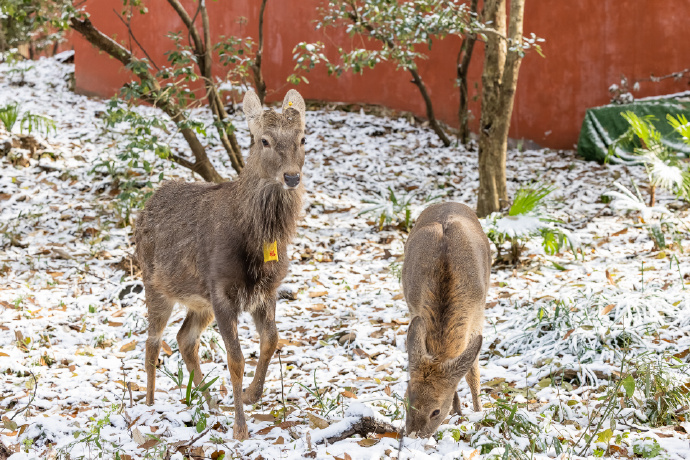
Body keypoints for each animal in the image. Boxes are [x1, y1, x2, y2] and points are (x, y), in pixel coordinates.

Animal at [134, 89, 306, 438]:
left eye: (302, 138)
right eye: (263, 140)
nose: (292, 176)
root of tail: (144, 207)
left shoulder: (266, 291)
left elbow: (271, 340)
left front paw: (252, 395)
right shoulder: (222, 288)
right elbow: (235, 358)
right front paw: (240, 429)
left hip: (200, 302)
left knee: (184, 338)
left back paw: (210, 404)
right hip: (154, 284)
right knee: (152, 342)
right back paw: (149, 403)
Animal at [400, 202, 492, 438]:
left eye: (436, 411)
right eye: (406, 400)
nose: (413, 436)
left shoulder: (478, 317)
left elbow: (473, 373)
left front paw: (478, 413)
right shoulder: (413, 309)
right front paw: (458, 410)